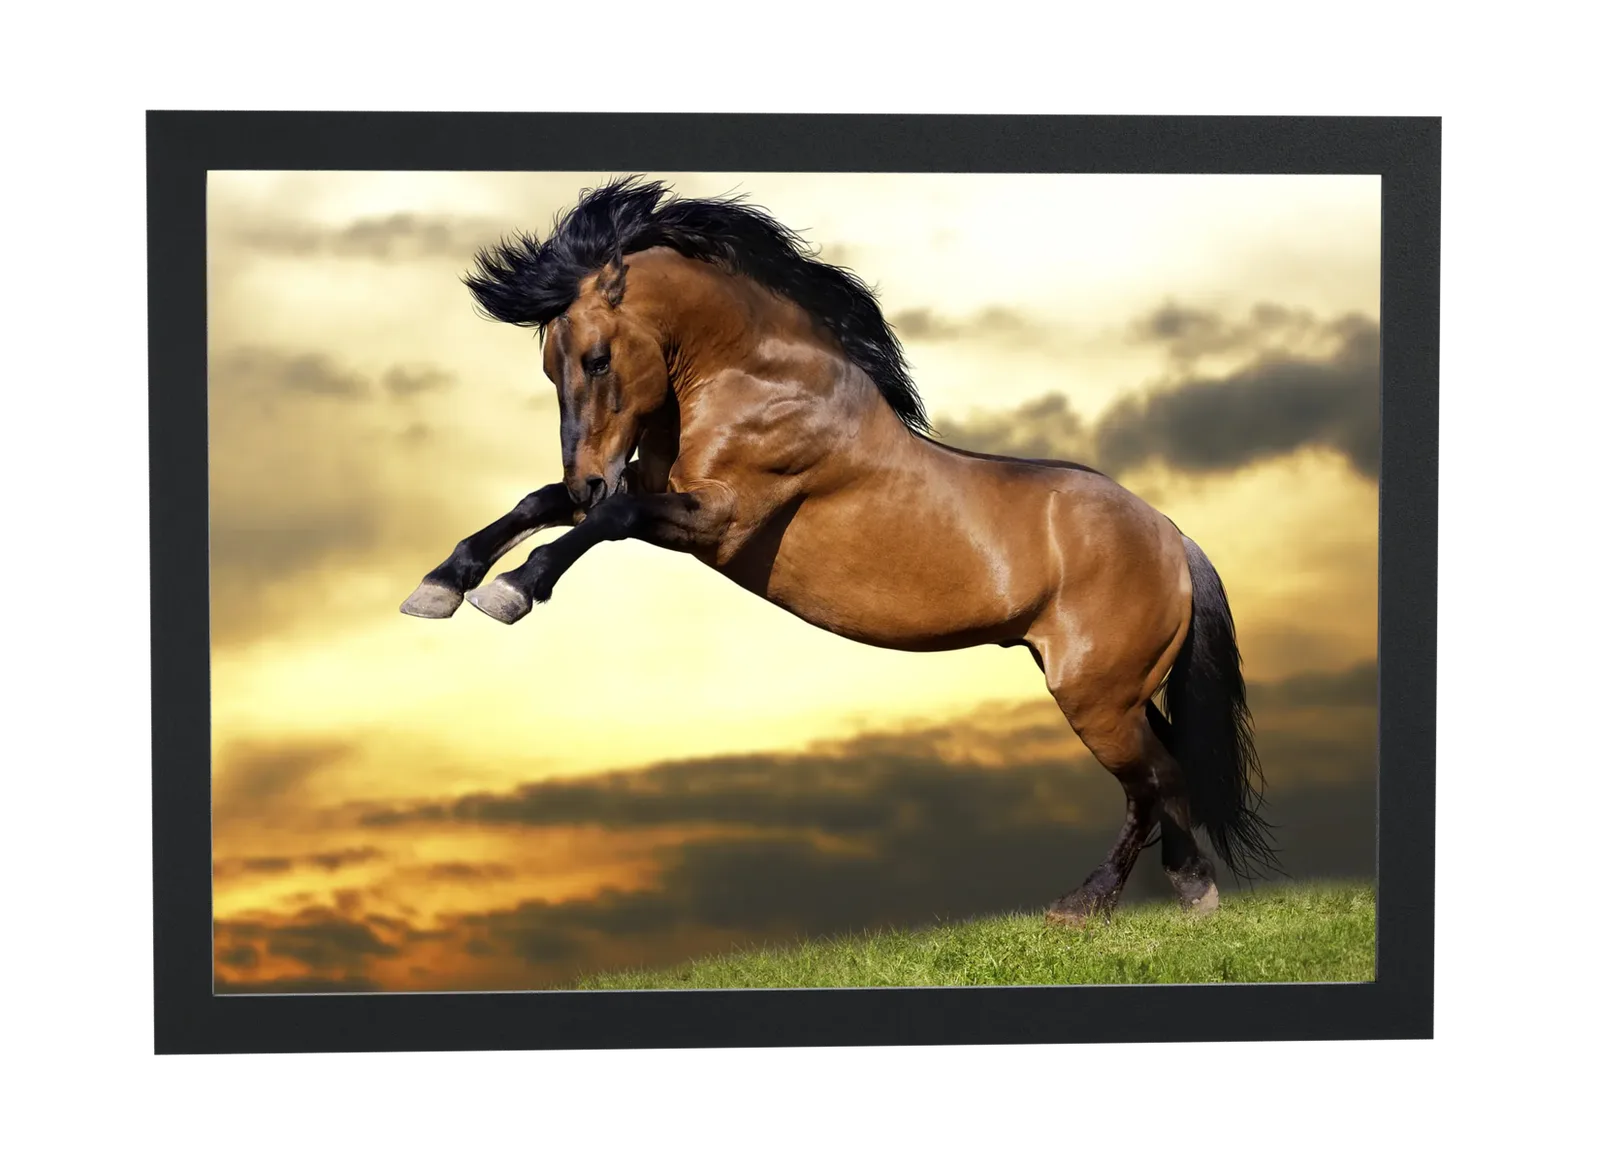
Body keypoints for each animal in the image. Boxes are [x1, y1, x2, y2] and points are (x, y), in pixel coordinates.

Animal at [400, 176, 1279, 927]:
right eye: (551, 367)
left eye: (596, 359)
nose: (585, 473)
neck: (755, 380)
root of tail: (1172, 536)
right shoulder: (655, 493)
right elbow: (540, 506)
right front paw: (441, 586)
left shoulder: (715, 520)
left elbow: (603, 521)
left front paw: (512, 590)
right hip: (1117, 690)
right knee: (1165, 776)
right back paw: (1177, 891)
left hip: (1094, 696)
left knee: (1153, 783)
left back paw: (1102, 902)